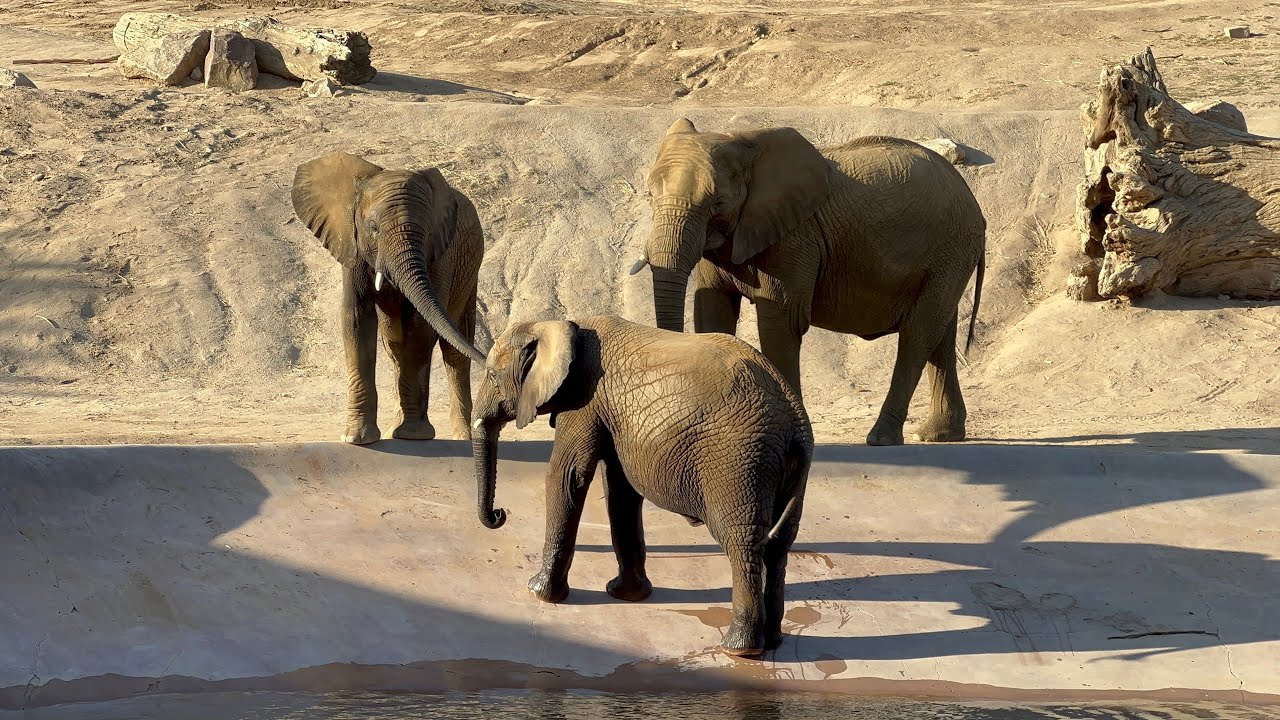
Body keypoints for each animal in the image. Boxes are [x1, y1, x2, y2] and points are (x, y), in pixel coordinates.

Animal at [292, 151, 486, 445]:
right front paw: (356, 438)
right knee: (395, 344)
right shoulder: (351, 243)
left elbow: (421, 325)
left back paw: (462, 437)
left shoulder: (441, 255)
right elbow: (357, 320)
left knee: (454, 348)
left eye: (428, 232)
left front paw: (414, 435)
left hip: (469, 268)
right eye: (373, 227)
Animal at [471, 314, 813, 658]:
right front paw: (625, 594)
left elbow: (567, 476)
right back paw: (773, 640)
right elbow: (619, 489)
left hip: (737, 462)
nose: (500, 514)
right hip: (784, 468)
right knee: (779, 545)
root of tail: (793, 419)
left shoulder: (585, 399)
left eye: (492, 375)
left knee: (742, 543)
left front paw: (539, 591)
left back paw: (739, 649)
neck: (558, 325)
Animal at [631, 119, 987, 447]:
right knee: (941, 334)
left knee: (918, 334)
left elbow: (780, 321)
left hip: (950, 250)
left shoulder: (794, 237)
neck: (744, 144)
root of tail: (976, 208)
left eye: (717, 202)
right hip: (949, 257)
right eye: (649, 196)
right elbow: (713, 311)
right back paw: (939, 435)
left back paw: (883, 438)